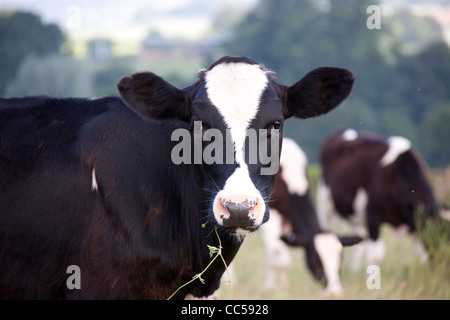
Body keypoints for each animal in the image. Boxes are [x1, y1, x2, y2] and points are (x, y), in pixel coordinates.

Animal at [318, 129, 442, 268]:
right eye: (434, 231)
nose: (440, 258)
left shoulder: (414, 225)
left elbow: (421, 256)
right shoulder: (373, 215)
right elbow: (375, 257)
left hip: (358, 218)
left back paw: (353, 269)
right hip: (326, 208)